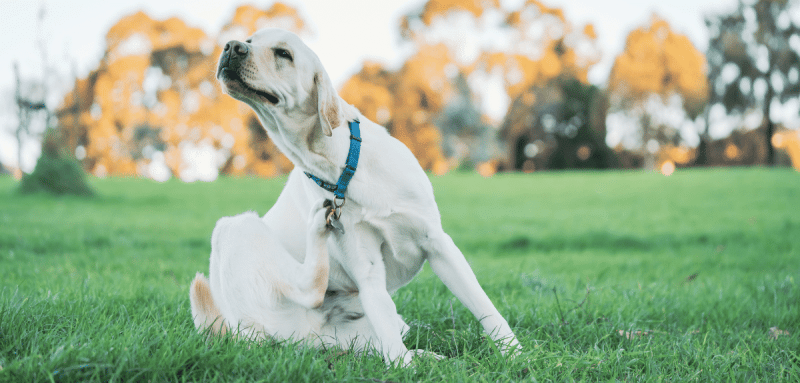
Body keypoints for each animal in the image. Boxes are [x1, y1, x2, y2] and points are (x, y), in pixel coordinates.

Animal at [191, 27, 520, 366]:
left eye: (284, 53)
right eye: (249, 41)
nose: (231, 46)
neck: (342, 167)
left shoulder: (438, 243)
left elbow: (485, 307)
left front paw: (515, 355)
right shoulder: (367, 269)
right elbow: (394, 348)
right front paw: (405, 369)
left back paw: (433, 357)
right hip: (234, 227)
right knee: (311, 290)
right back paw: (317, 226)